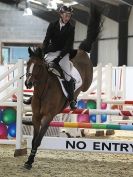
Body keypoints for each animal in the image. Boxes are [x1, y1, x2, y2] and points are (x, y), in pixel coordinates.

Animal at [23, 7, 102, 169]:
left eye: (38, 66)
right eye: (28, 64)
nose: (28, 83)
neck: (42, 91)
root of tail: (81, 51)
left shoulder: (48, 117)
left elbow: (38, 140)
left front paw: (30, 161)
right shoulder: (36, 117)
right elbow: (34, 139)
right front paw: (28, 161)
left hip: (86, 83)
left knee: (82, 88)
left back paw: (74, 102)